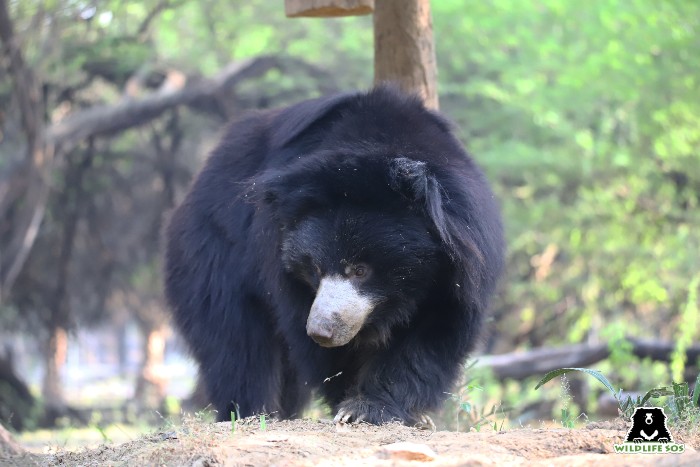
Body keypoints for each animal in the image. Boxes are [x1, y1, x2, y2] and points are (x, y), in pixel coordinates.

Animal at [164, 86, 504, 427]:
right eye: (314, 269)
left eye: (361, 270)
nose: (322, 331)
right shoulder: (277, 253)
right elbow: (316, 346)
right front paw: (349, 402)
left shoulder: (454, 268)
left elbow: (435, 332)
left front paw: (370, 407)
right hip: (213, 253)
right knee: (236, 341)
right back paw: (251, 412)